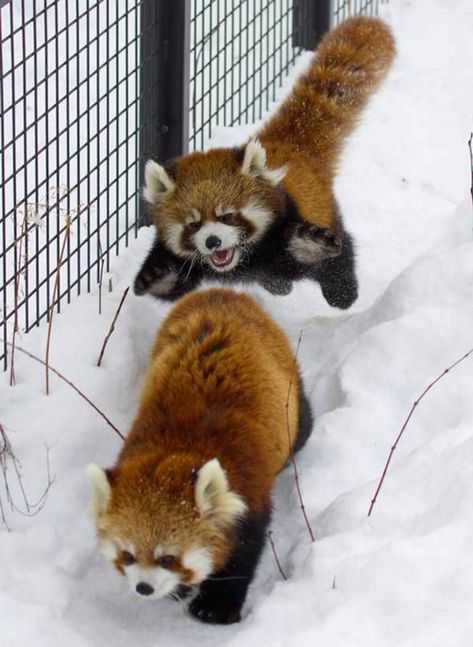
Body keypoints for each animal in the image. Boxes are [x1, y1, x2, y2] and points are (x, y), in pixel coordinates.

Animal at [85, 288, 314, 624]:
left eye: (168, 558)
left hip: (289, 396)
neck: (180, 448)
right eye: (127, 555)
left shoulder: (249, 489)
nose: (143, 588)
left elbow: (242, 554)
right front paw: (179, 590)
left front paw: (216, 605)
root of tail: (221, 293)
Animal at [134, 15, 394, 308]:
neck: (242, 261)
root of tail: (288, 147)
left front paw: (309, 244)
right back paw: (279, 286)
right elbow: (173, 286)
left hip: (323, 207)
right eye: (193, 224)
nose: (213, 241)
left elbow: (307, 251)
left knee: (342, 248)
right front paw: (155, 276)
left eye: (228, 216)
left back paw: (341, 291)